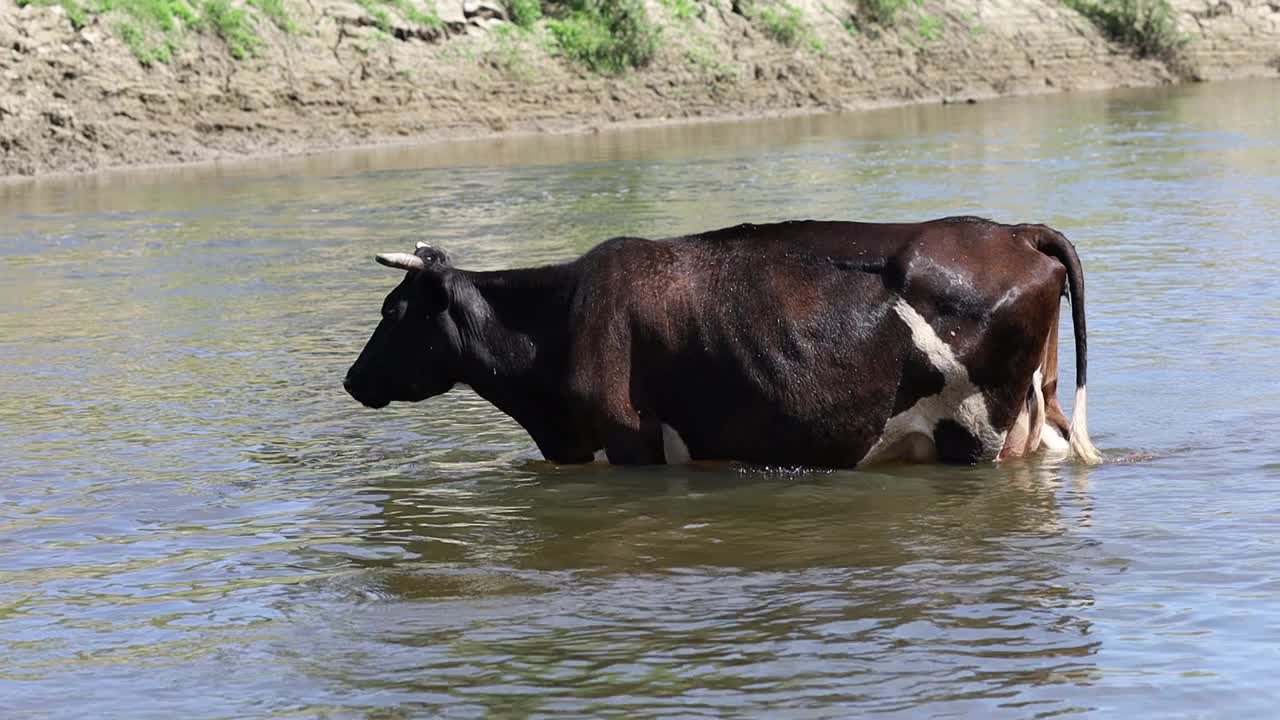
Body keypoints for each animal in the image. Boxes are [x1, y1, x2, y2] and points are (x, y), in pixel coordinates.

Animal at [345, 215, 1105, 468]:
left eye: (392, 309)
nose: (352, 380)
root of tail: (1015, 232)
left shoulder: (629, 440)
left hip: (976, 429)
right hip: (1036, 410)